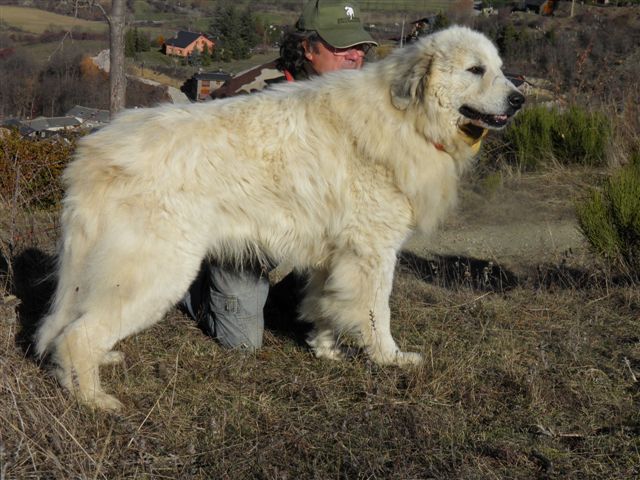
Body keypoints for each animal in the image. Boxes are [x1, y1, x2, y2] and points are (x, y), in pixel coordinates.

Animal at [35, 25, 524, 408]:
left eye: (499, 68)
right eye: (475, 70)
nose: (519, 98)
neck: (404, 116)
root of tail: (94, 151)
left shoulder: (338, 255)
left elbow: (327, 303)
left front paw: (325, 351)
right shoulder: (373, 252)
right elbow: (376, 312)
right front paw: (390, 359)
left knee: (71, 327)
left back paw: (85, 372)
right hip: (157, 272)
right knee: (79, 334)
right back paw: (94, 400)